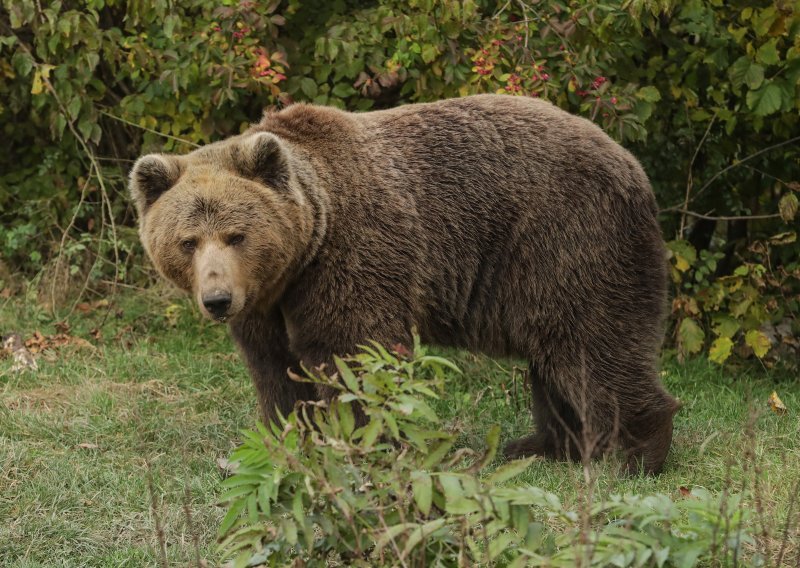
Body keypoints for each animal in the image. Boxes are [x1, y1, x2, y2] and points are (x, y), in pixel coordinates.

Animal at [131, 94, 680, 474]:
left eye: (236, 235)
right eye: (187, 241)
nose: (217, 300)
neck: (305, 251)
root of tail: (631, 163)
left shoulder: (351, 259)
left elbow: (352, 354)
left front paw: (359, 445)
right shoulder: (268, 305)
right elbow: (277, 373)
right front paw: (293, 443)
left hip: (567, 240)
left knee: (592, 343)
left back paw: (635, 456)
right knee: (554, 360)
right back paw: (548, 445)